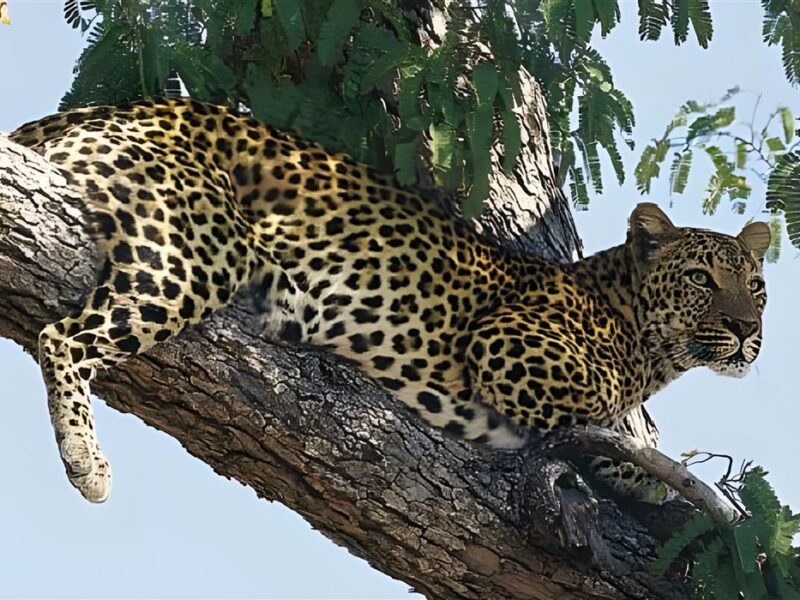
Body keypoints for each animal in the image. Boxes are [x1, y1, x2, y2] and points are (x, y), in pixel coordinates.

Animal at [9, 97, 770, 504]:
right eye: (702, 279)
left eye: (756, 287)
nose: (743, 329)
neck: (648, 346)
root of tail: (103, 108)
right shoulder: (508, 342)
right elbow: (596, 405)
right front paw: (637, 466)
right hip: (199, 253)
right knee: (61, 337)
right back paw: (86, 463)